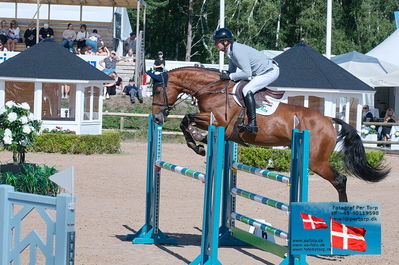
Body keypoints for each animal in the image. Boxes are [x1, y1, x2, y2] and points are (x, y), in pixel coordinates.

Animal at [152, 66, 390, 200]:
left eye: (157, 90)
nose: (156, 118)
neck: (213, 89)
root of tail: (329, 120)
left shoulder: (219, 121)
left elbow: (186, 119)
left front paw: (199, 143)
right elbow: (185, 121)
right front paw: (199, 142)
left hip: (317, 162)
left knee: (340, 180)